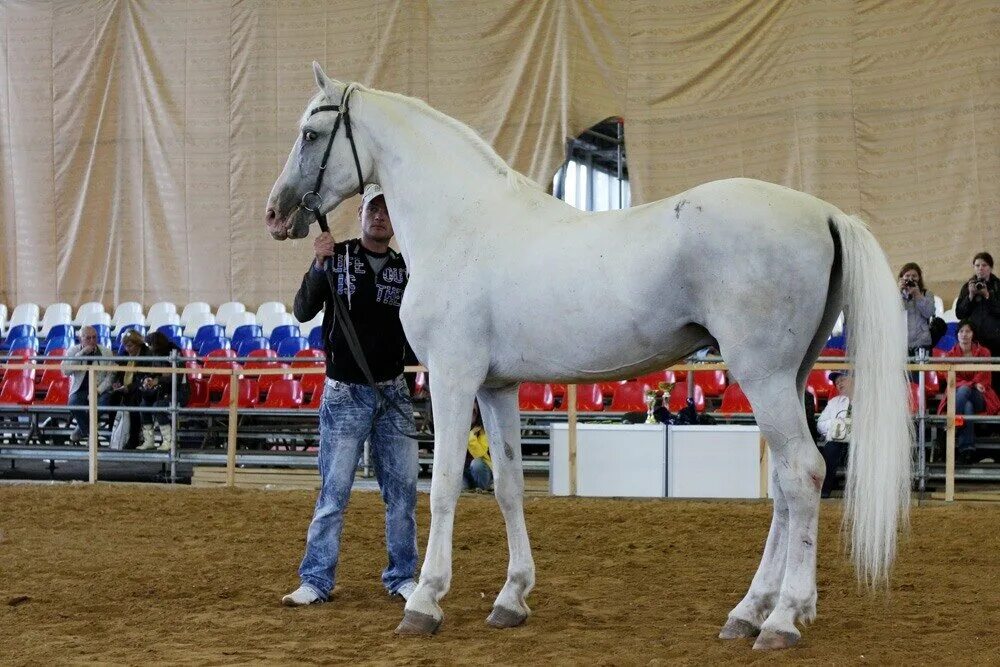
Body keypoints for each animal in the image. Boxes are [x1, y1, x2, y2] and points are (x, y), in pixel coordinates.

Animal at [268, 64, 916, 652]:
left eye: (310, 133)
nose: (276, 213)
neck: (462, 223)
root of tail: (825, 212)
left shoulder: (453, 379)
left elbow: (446, 484)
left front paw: (425, 601)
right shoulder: (496, 387)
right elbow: (507, 486)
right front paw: (511, 598)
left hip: (766, 378)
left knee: (803, 475)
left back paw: (781, 620)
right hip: (789, 378)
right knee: (784, 486)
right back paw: (750, 612)